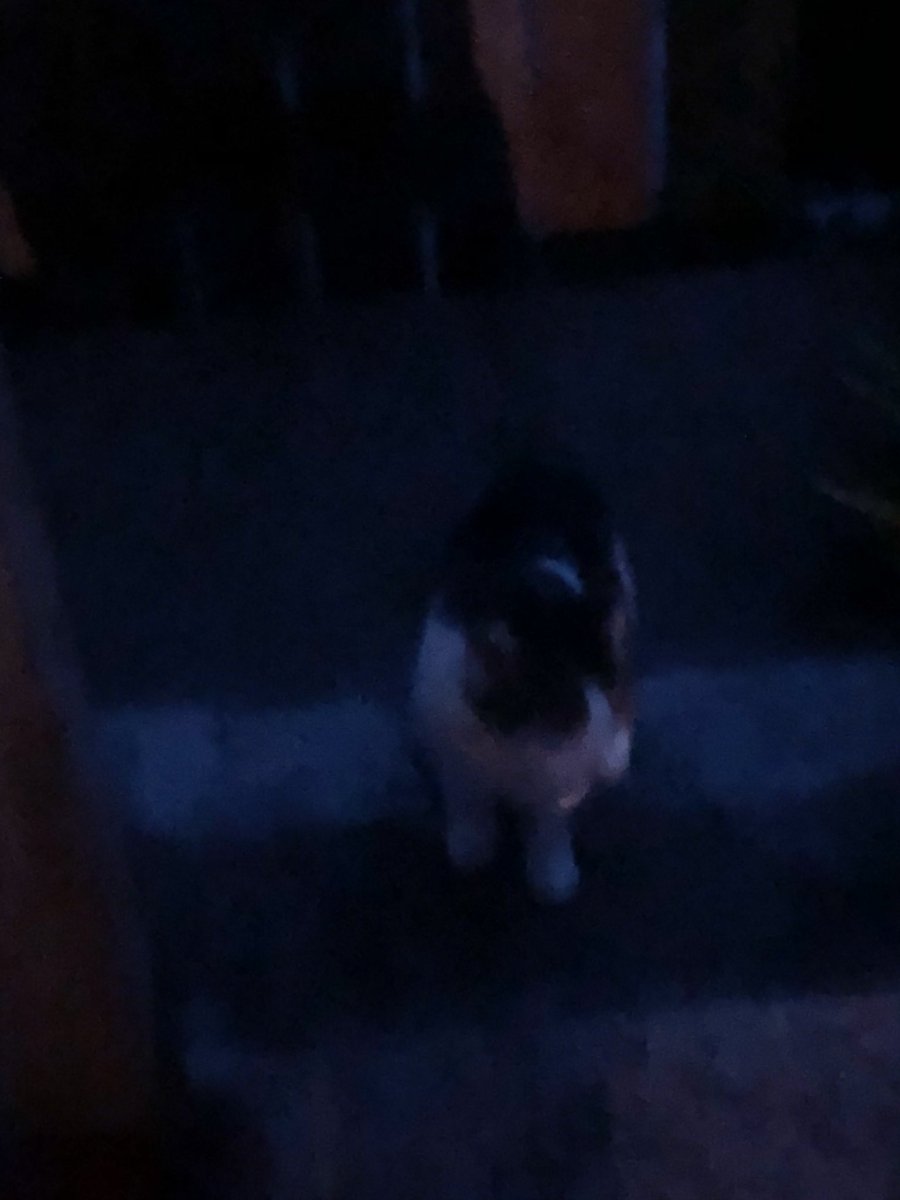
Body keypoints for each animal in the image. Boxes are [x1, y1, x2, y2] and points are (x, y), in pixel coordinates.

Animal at [411, 454, 636, 902]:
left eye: (605, 689)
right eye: (571, 712)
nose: (596, 753)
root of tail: (542, 465)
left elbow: (549, 815)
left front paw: (553, 872)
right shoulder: (450, 732)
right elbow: (465, 792)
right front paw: (471, 843)